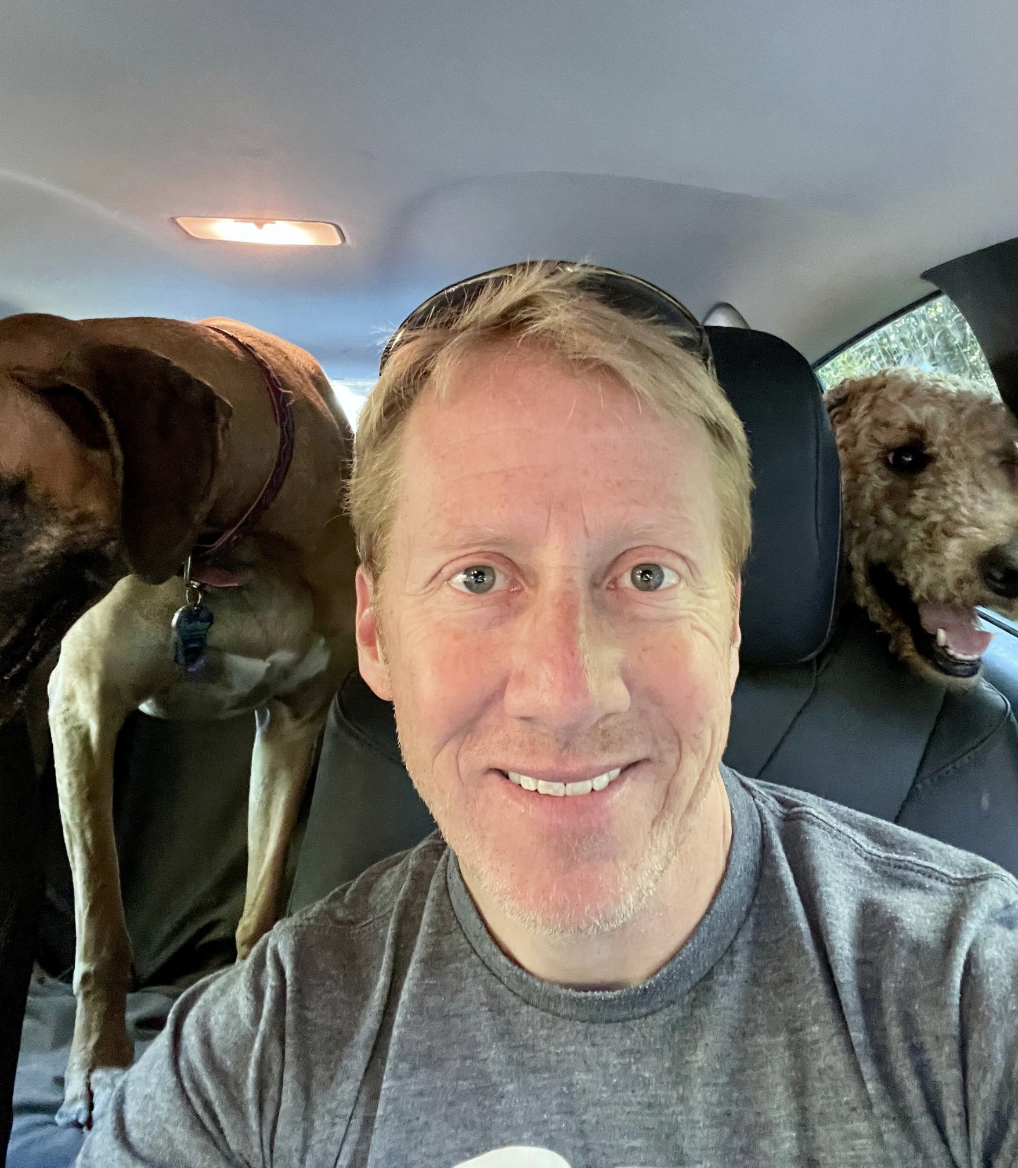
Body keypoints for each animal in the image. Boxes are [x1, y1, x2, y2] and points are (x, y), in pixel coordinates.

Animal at [0, 310, 357, 1121]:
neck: (232, 543)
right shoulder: (82, 707)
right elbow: (101, 926)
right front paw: (97, 1065)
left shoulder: (293, 726)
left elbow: (260, 908)